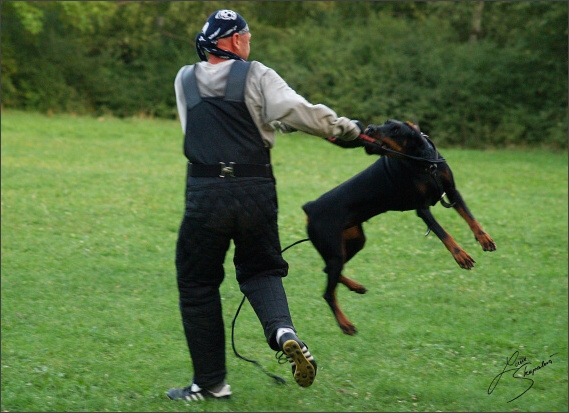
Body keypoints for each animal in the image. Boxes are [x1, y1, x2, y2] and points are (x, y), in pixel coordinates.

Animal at [304, 119, 494, 334]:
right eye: (383, 124)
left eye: (395, 128)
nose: (369, 128)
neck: (424, 163)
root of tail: (310, 208)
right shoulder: (422, 208)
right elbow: (443, 233)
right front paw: (460, 255)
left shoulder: (452, 191)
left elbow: (470, 217)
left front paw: (484, 239)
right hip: (334, 248)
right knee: (328, 292)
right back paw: (345, 324)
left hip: (353, 241)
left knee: (327, 269)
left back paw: (357, 287)